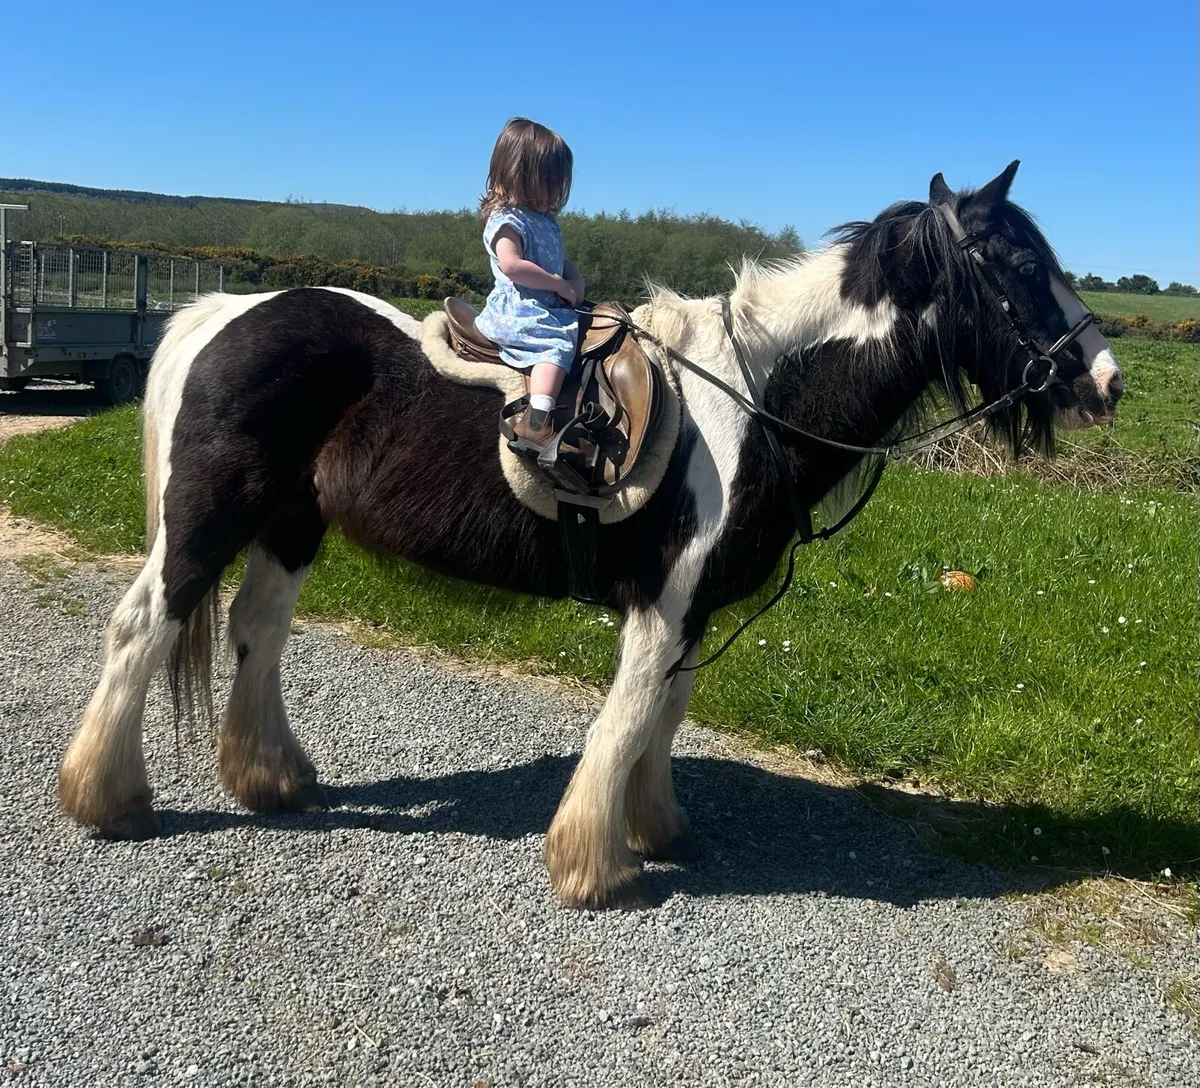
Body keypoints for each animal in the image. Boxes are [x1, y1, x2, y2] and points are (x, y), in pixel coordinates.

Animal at [58, 162, 1123, 909]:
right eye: (1019, 265)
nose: (1105, 381)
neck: (755, 400)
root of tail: (226, 309)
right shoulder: (661, 605)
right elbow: (626, 721)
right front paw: (595, 868)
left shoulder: (695, 611)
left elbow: (665, 718)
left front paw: (656, 829)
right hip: (206, 522)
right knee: (144, 626)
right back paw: (106, 800)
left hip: (290, 525)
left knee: (258, 629)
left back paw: (272, 778)